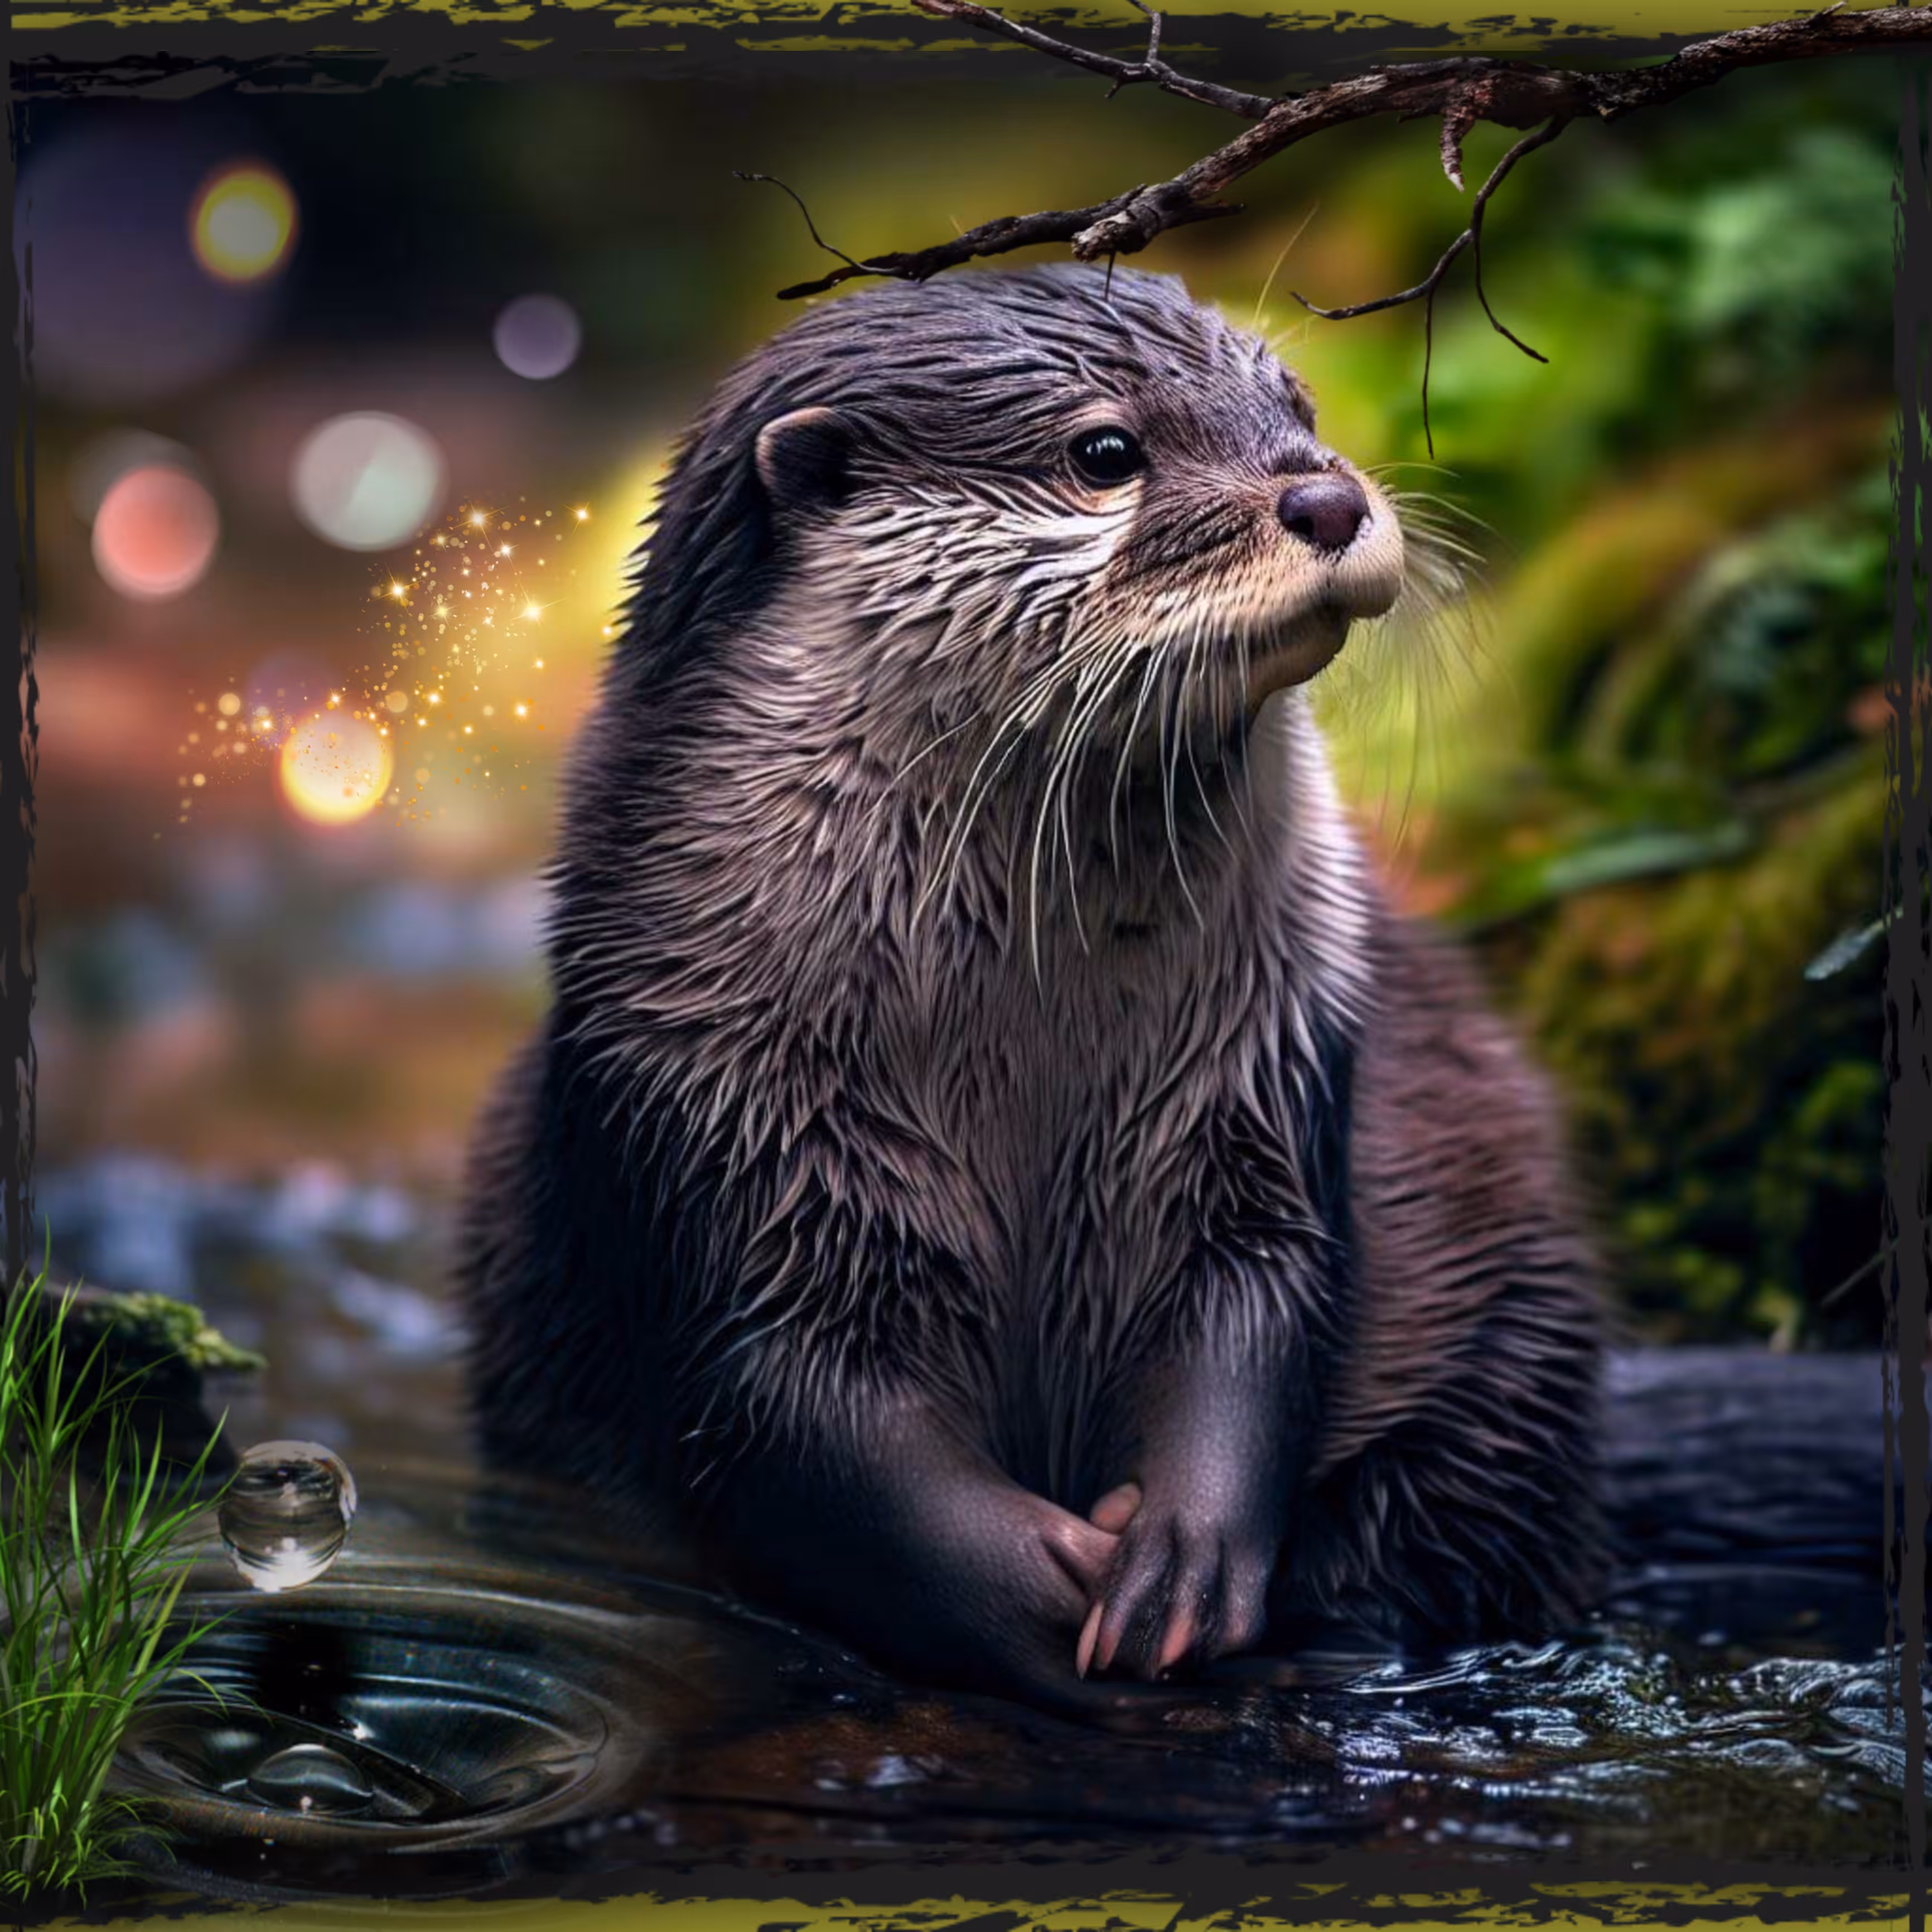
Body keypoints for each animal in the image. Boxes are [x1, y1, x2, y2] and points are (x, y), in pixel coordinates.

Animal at [458, 265, 1604, 1709]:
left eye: (1292, 401)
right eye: (1104, 454)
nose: (1325, 498)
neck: (1033, 1046)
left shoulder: (1269, 1064)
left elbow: (1258, 1304)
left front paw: (1180, 1555)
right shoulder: (696, 1110)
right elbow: (786, 1404)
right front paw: (1023, 1593)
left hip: (1505, 1332)